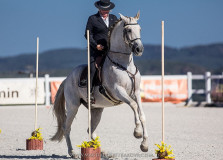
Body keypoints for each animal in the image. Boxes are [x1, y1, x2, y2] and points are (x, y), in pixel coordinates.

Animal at [50, 11, 148, 158]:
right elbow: (133, 105)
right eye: (129, 30)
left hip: (97, 109)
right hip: (73, 106)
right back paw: (73, 152)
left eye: (140, 29)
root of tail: (67, 78)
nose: (139, 49)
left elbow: (142, 114)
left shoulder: (135, 92)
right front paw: (137, 132)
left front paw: (144, 144)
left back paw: (103, 152)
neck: (124, 65)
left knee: (90, 130)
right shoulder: (119, 91)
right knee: (66, 127)